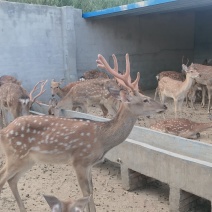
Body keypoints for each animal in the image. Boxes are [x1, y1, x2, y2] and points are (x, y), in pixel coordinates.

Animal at [0, 53, 166, 212]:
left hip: (28, 159)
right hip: (16, 154)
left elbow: (91, 191)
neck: (102, 139)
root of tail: (4, 131)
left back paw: (23, 209)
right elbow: (86, 193)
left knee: (12, 180)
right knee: (3, 177)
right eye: (145, 100)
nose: (164, 106)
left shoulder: (89, 164)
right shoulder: (79, 161)